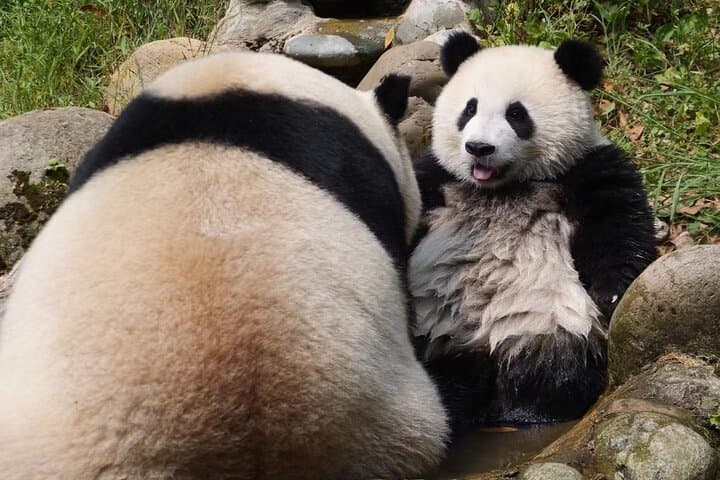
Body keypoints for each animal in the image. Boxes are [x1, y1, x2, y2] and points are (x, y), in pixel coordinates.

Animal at [409, 32, 657, 430]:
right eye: (469, 109)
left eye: (516, 114)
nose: (478, 147)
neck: (500, 188)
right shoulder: (437, 178)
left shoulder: (585, 168)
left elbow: (618, 223)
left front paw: (611, 294)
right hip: (431, 331)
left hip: (544, 320)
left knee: (553, 370)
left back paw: (524, 409)